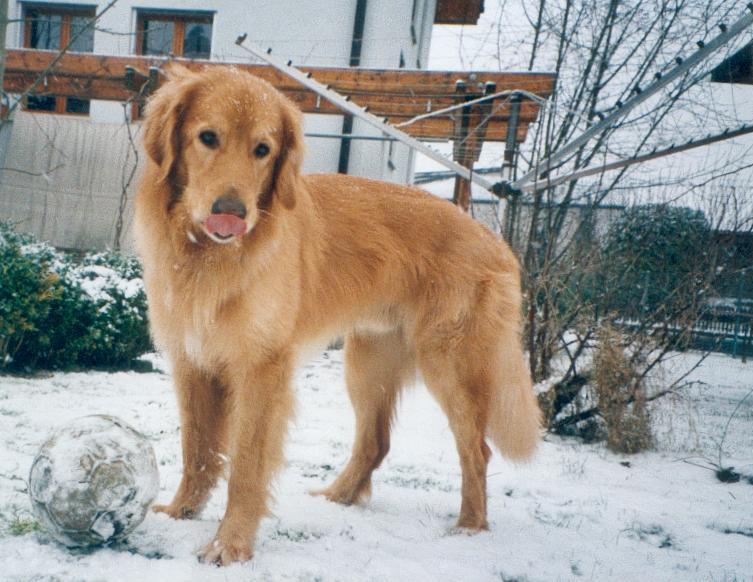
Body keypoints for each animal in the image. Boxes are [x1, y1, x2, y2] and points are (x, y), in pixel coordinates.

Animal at [132, 64, 536, 564]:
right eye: (207, 137)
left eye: (262, 150)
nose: (232, 214)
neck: (206, 257)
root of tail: (496, 241)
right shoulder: (192, 362)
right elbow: (198, 451)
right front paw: (181, 512)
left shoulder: (260, 369)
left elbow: (245, 467)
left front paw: (231, 545)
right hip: (367, 365)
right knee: (376, 442)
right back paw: (339, 497)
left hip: (450, 366)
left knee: (476, 451)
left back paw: (470, 526)